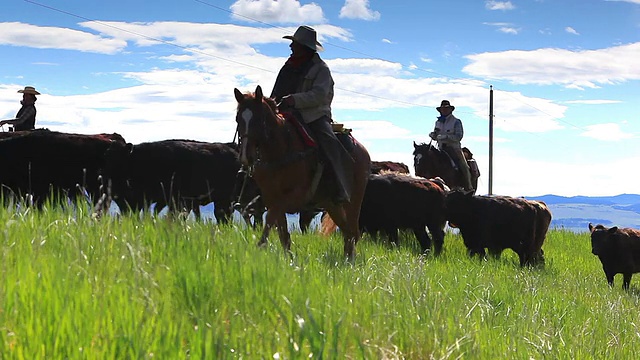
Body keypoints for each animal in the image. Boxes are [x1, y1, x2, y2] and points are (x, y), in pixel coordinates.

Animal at [234, 85, 370, 258]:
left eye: (258, 120)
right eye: (238, 119)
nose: (245, 156)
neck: (280, 151)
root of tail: (363, 151)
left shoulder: (294, 197)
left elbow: (272, 217)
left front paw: (260, 246)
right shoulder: (270, 196)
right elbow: (282, 232)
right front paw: (287, 258)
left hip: (354, 202)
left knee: (353, 232)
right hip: (331, 204)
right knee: (348, 232)